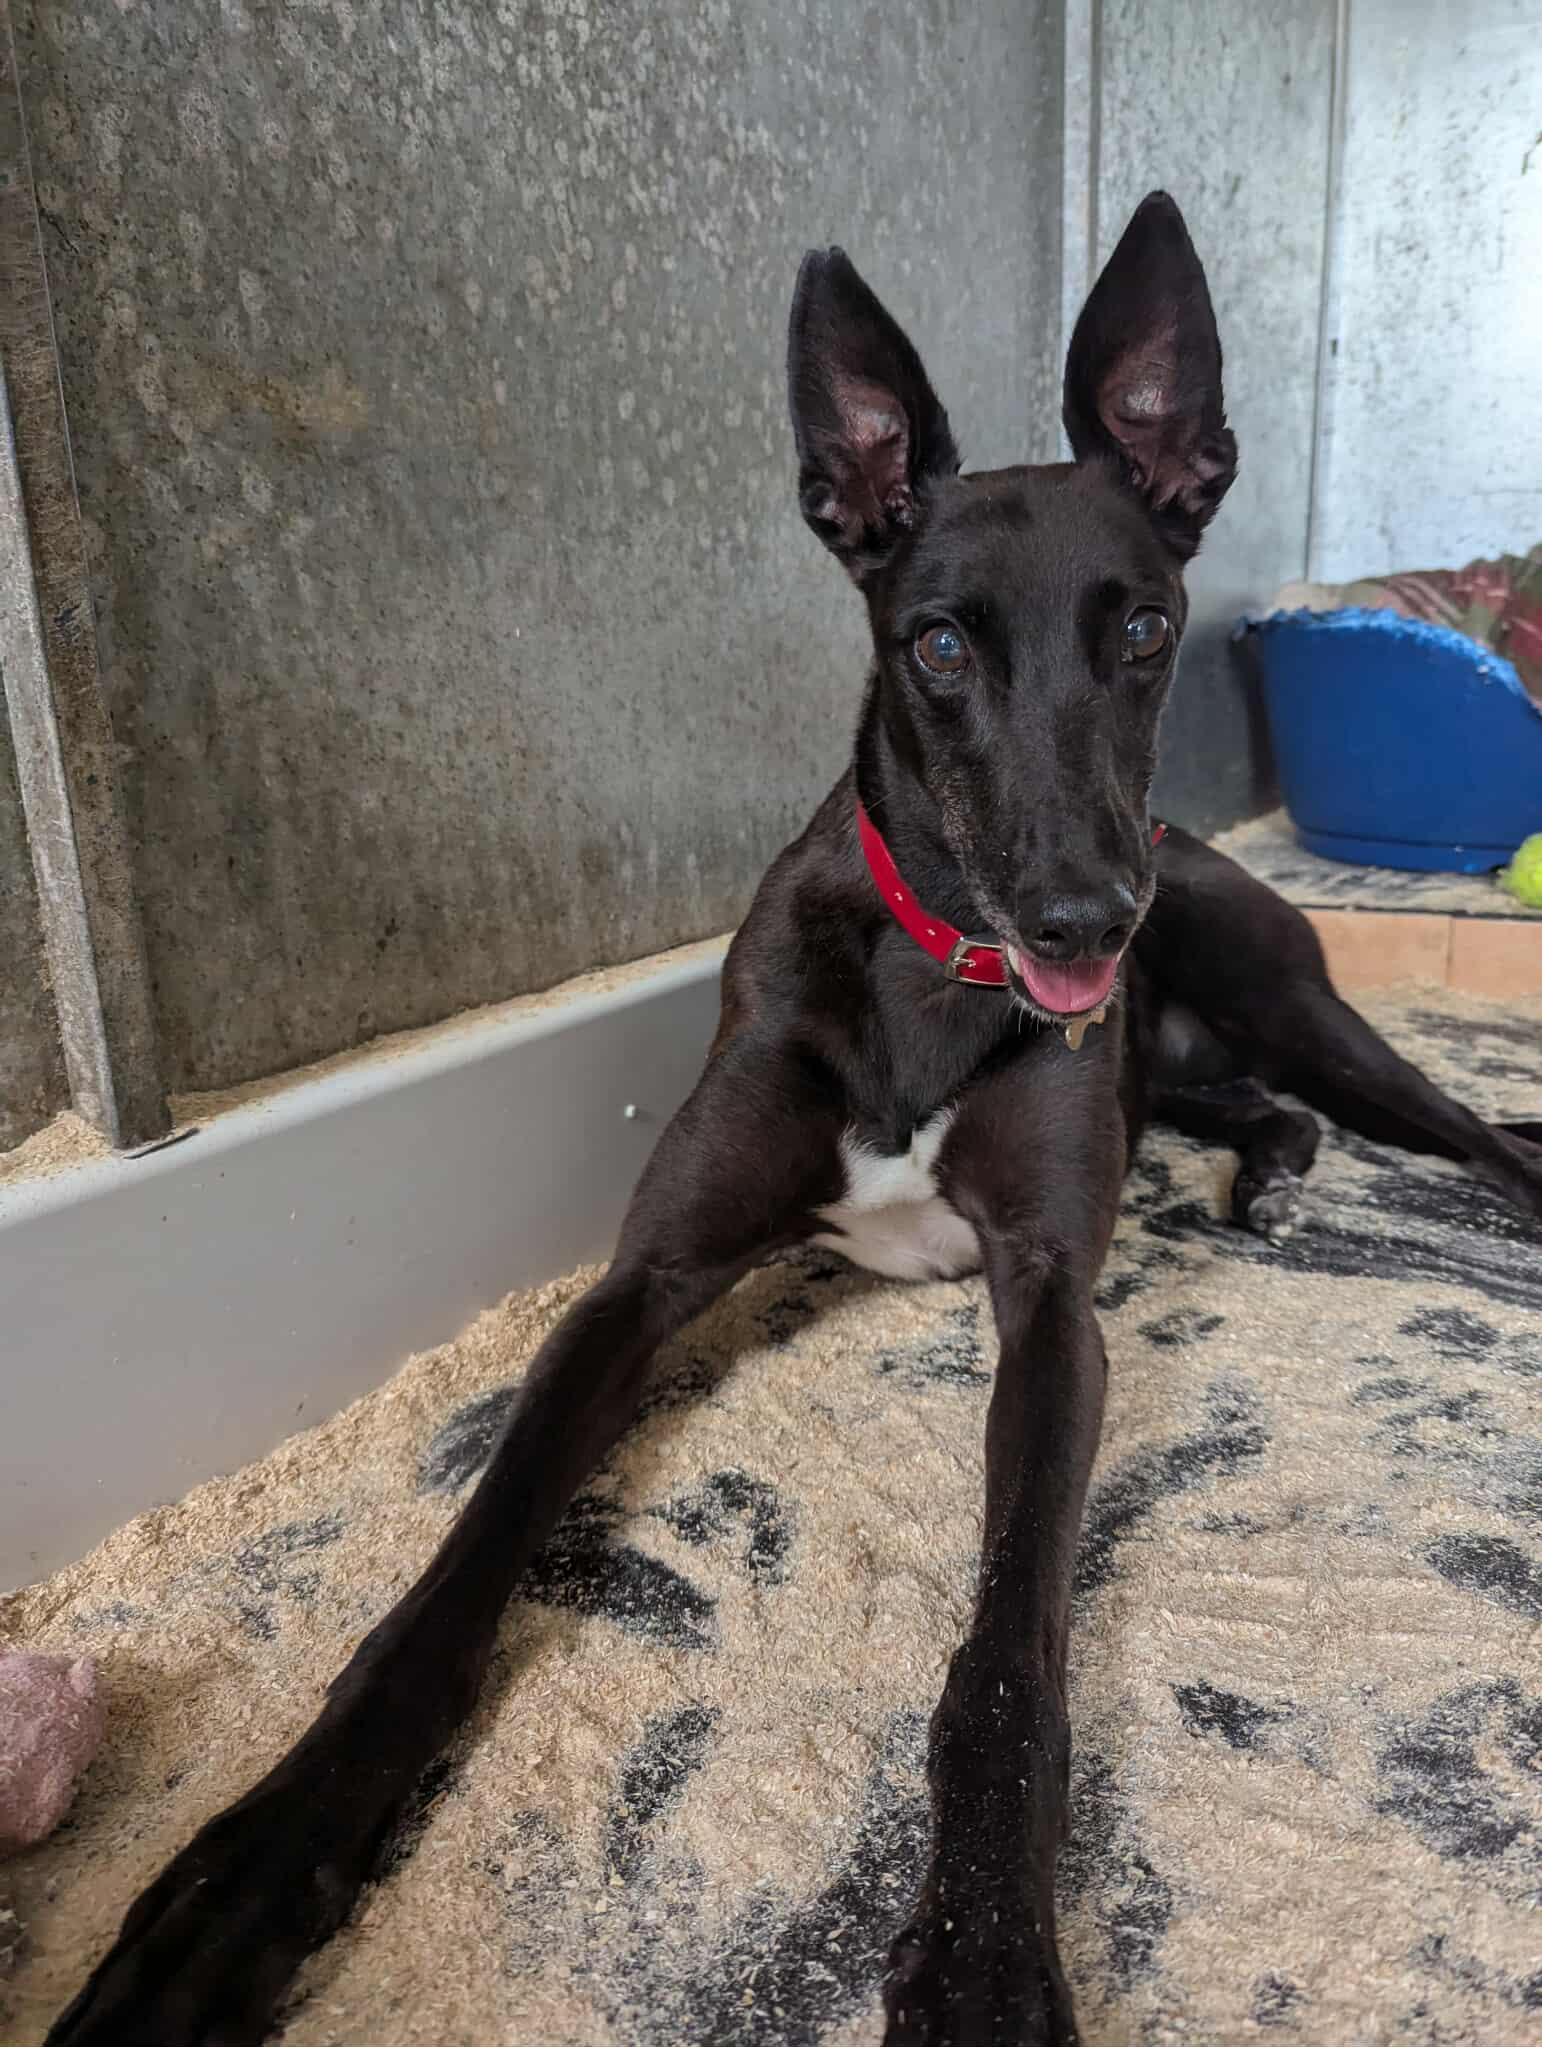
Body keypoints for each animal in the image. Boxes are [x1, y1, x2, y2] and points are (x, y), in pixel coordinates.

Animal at [49, 192, 1542, 2047]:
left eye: (1141, 630)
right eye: (938, 643)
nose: (1084, 920)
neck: (935, 957)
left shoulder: (1050, 1300)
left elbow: (1003, 1655)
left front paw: (984, 1957)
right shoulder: (647, 1277)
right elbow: (451, 1574)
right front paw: (245, 1872)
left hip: (1298, 1008)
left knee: (1469, 1130)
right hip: (1199, 1043)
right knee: (1261, 1109)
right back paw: (1255, 1179)